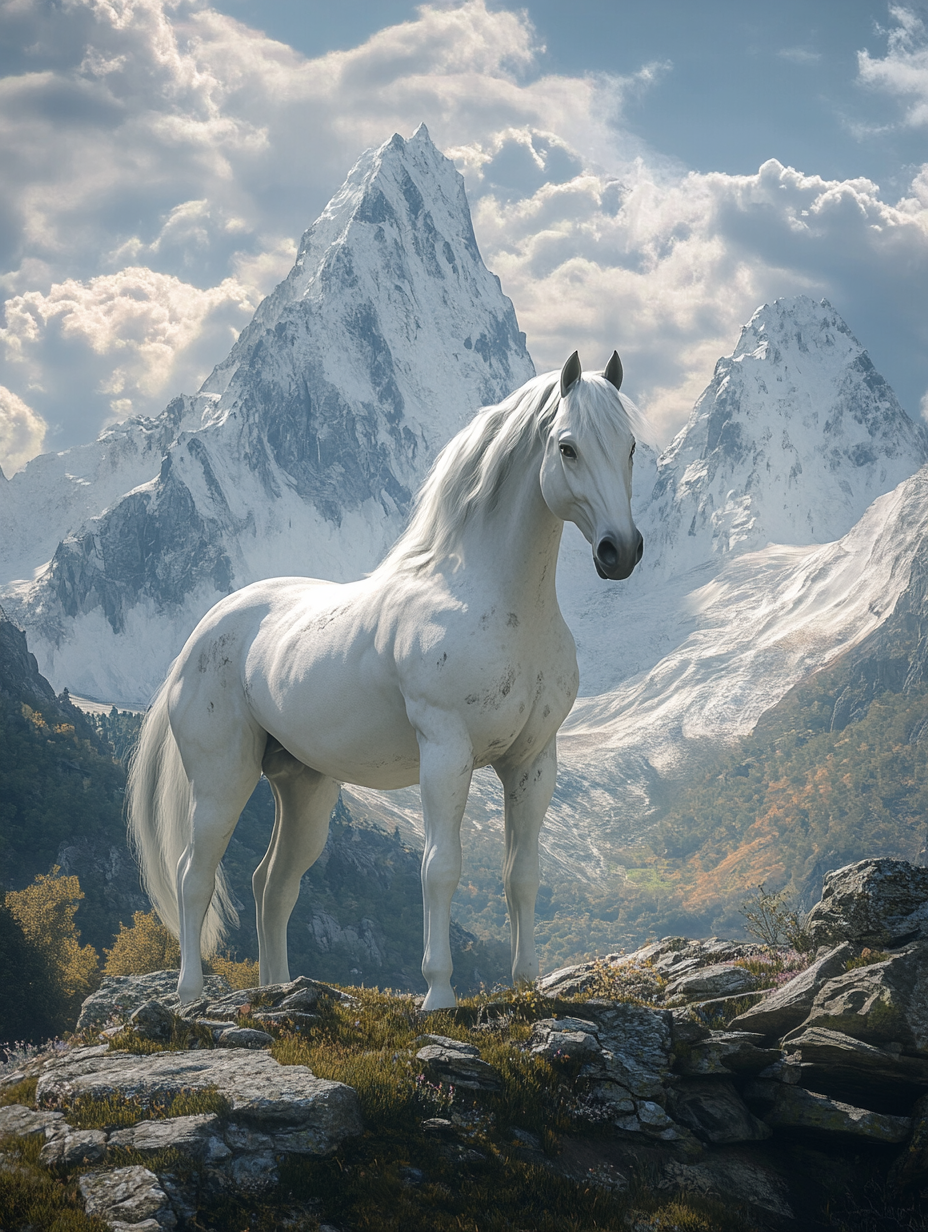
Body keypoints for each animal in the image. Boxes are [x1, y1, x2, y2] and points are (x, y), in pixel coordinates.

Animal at [127, 351, 646, 1010]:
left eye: (630, 446)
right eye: (568, 447)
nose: (619, 551)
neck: (494, 599)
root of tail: (199, 638)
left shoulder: (532, 761)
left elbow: (522, 875)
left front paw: (528, 986)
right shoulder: (446, 751)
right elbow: (440, 868)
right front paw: (439, 994)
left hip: (305, 790)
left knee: (272, 884)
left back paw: (277, 989)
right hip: (222, 781)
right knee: (194, 876)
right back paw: (190, 993)